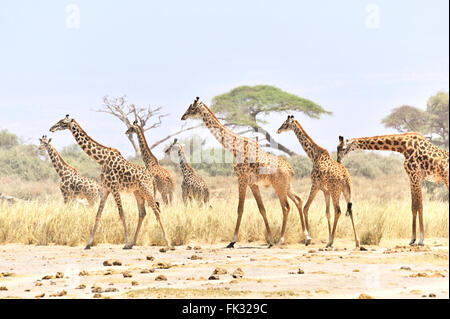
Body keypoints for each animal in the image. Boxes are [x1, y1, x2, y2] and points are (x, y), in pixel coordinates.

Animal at [48, 116, 170, 251]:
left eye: (63, 122)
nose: (51, 128)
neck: (102, 160)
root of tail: (151, 177)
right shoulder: (105, 188)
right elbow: (98, 214)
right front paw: (88, 244)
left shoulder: (114, 188)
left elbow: (121, 214)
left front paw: (126, 242)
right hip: (138, 192)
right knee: (143, 213)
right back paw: (133, 244)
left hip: (147, 190)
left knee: (157, 210)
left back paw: (167, 244)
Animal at [181, 97, 308, 248]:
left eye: (192, 108)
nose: (183, 116)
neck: (236, 149)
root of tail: (290, 169)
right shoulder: (253, 183)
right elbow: (262, 208)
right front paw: (270, 240)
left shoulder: (242, 178)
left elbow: (240, 208)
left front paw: (232, 241)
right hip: (287, 186)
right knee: (298, 200)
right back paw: (306, 238)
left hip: (279, 186)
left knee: (286, 207)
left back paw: (281, 240)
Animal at [276, 116, 360, 249]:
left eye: (285, 124)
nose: (278, 130)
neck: (314, 155)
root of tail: (346, 178)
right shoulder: (325, 190)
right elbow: (327, 213)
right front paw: (327, 237)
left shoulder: (315, 185)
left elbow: (306, 207)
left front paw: (308, 239)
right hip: (346, 191)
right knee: (350, 210)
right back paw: (356, 242)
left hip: (336, 191)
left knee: (338, 211)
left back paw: (330, 243)